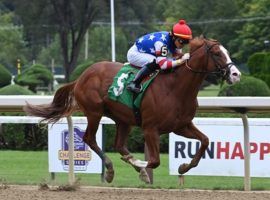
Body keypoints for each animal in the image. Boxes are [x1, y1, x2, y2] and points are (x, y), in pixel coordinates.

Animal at [24, 36, 242, 184]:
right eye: (217, 53)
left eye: (227, 52)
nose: (236, 74)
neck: (176, 88)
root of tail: (81, 77)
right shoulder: (150, 128)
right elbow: (154, 161)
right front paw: (140, 164)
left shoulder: (181, 126)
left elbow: (204, 141)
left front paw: (183, 166)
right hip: (94, 112)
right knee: (89, 138)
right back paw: (111, 169)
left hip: (123, 119)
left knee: (119, 145)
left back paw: (133, 167)